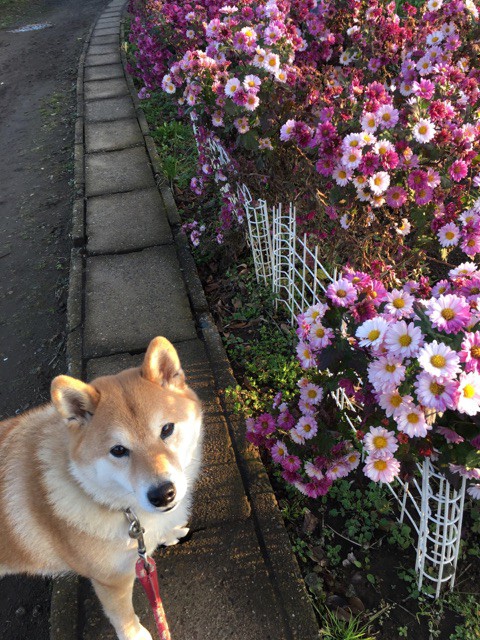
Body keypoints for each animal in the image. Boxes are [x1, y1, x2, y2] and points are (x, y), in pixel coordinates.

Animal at [0, 338, 202, 636]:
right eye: (118, 450)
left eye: (166, 429)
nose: (162, 494)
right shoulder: (111, 580)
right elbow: (123, 616)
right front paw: (137, 636)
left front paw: (168, 533)